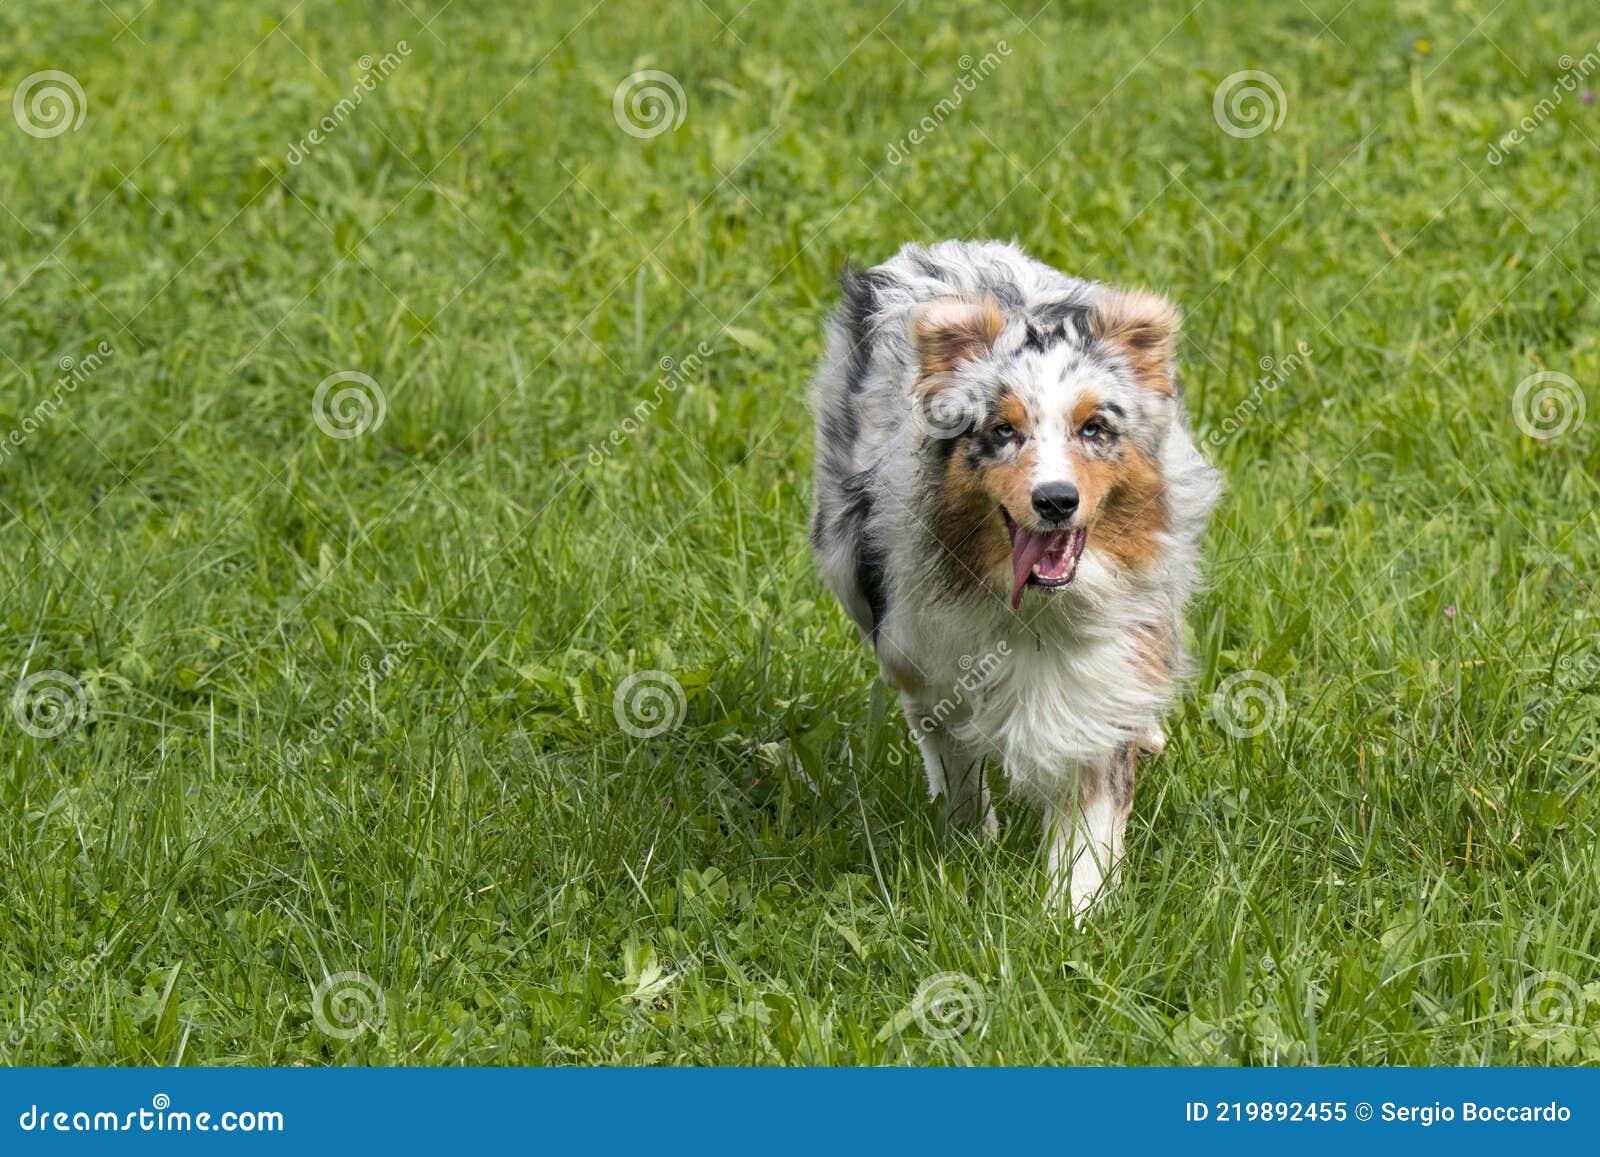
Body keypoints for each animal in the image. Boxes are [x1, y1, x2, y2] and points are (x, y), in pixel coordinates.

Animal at [806, 240, 1216, 921]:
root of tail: (944, 249)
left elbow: (1091, 810)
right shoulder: (927, 664)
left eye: (1095, 429)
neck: (1040, 612)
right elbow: (956, 764)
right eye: (1002, 431)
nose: (1055, 500)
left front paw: (1072, 916)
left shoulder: (1101, 677)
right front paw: (974, 848)